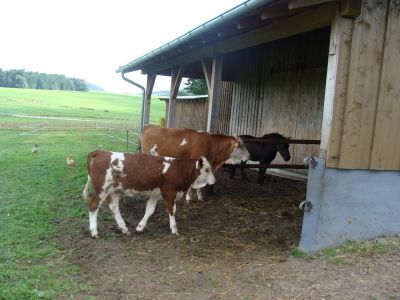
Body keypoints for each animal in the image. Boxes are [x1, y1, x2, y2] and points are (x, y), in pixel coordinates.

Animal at [81, 149, 217, 237]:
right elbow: (172, 210)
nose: (214, 181)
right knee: (93, 206)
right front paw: (174, 229)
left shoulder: (154, 195)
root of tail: (102, 152)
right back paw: (94, 232)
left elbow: (149, 211)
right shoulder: (169, 194)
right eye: (207, 169)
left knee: (114, 208)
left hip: (114, 191)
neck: (179, 169)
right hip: (102, 190)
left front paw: (140, 227)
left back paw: (124, 228)